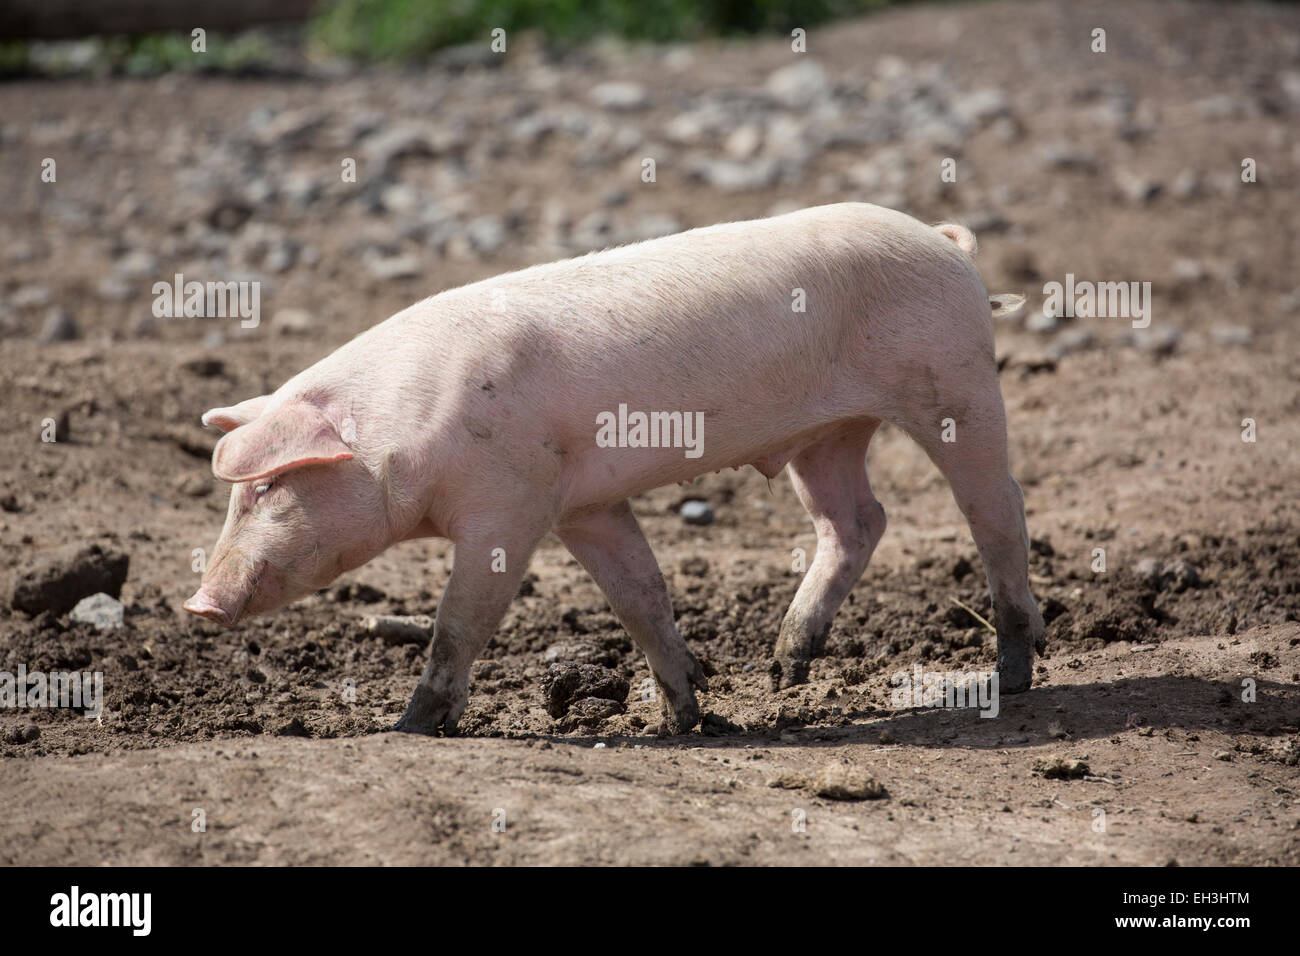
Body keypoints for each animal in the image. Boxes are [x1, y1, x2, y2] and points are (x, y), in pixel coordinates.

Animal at [183, 205, 1045, 738]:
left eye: (266, 487)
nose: (198, 602)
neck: (397, 434)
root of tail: (946, 241)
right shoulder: (584, 507)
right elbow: (640, 596)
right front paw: (687, 717)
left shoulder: (512, 503)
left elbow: (460, 621)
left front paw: (404, 728)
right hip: (827, 434)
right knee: (857, 521)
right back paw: (782, 671)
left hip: (955, 381)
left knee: (997, 503)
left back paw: (1013, 675)